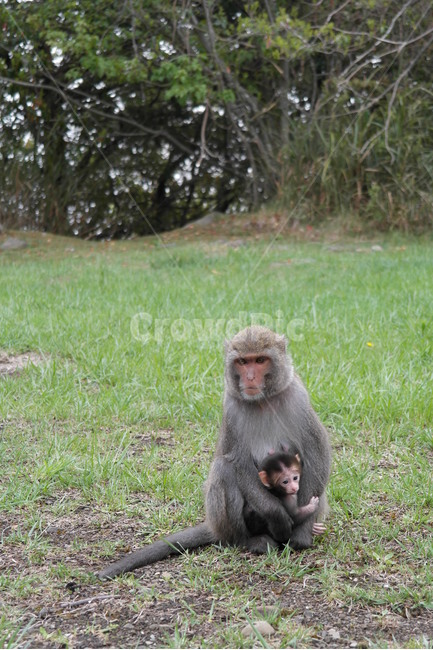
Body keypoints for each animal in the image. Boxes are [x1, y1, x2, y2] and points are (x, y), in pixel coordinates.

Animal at [98, 326, 331, 579]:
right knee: (223, 469)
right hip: (226, 522)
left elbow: (316, 453)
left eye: (260, 360)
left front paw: (302, 531)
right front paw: (278, 516)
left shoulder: (299, 398)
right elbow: (238, 463)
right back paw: (249, 540)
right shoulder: (231, 408)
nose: (250, 377)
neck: (263, 401)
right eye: (242, 362)